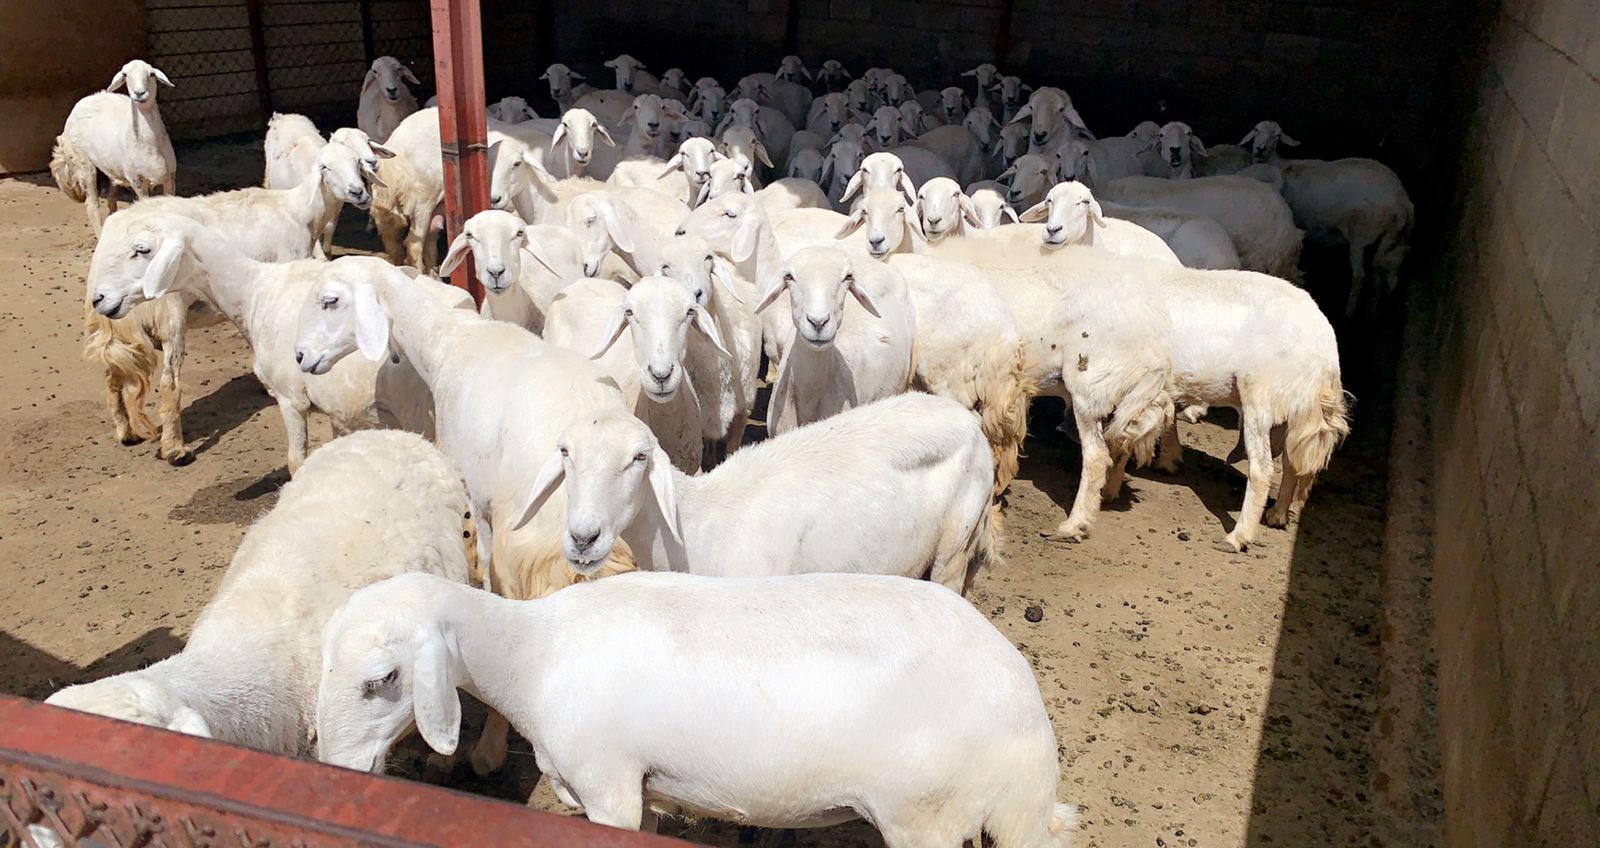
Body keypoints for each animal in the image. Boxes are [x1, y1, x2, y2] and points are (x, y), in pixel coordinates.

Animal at [51, 59, 176, 234]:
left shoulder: (170, 177)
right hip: (83, 163)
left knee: (111, 199)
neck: (150, 144)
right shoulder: (137, 180)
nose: (139, 93)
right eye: (125, 75)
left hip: (111, 169)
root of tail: (89, 97)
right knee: (92, 205)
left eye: (151, 74)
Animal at [316, 570, 1079, 845]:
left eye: (382, 679)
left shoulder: (608, 786)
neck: (532, 654)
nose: (330, 769)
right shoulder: (644, 787)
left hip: (925, 817)